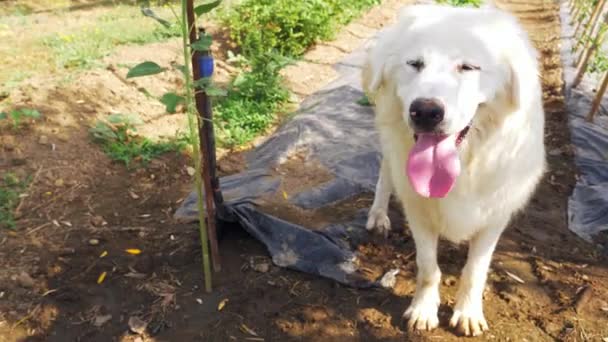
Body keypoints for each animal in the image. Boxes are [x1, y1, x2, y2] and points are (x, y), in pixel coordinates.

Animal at [360, 4, 548, 338]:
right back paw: (378, 215)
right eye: (415, 64)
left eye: (468, 67)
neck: (465, 162)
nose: (425, 111)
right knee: (386, 171)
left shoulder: (495, 216)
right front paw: (423, 310)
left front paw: (468, 313)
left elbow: (475, 271)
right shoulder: (418, 209)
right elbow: (427, 267)